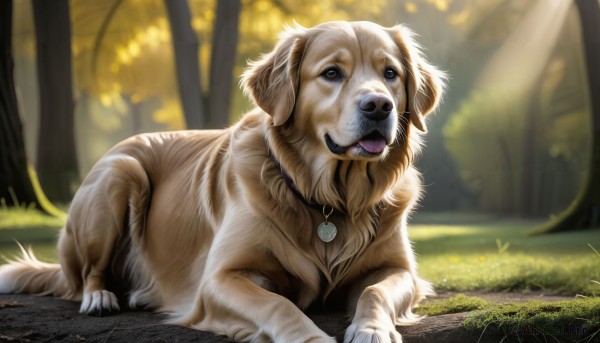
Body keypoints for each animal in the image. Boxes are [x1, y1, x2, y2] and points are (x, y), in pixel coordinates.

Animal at [1, 22, 446, 343]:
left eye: (390, 73)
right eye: (331, 73)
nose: (379, 106)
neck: (327, 198)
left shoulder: (399, 270)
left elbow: (375, 292)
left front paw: (372, 329)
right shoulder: (220, 279)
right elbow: (278, 305)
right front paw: (310, 338)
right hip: (119, 175)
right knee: (86, 277)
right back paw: (101, 296)